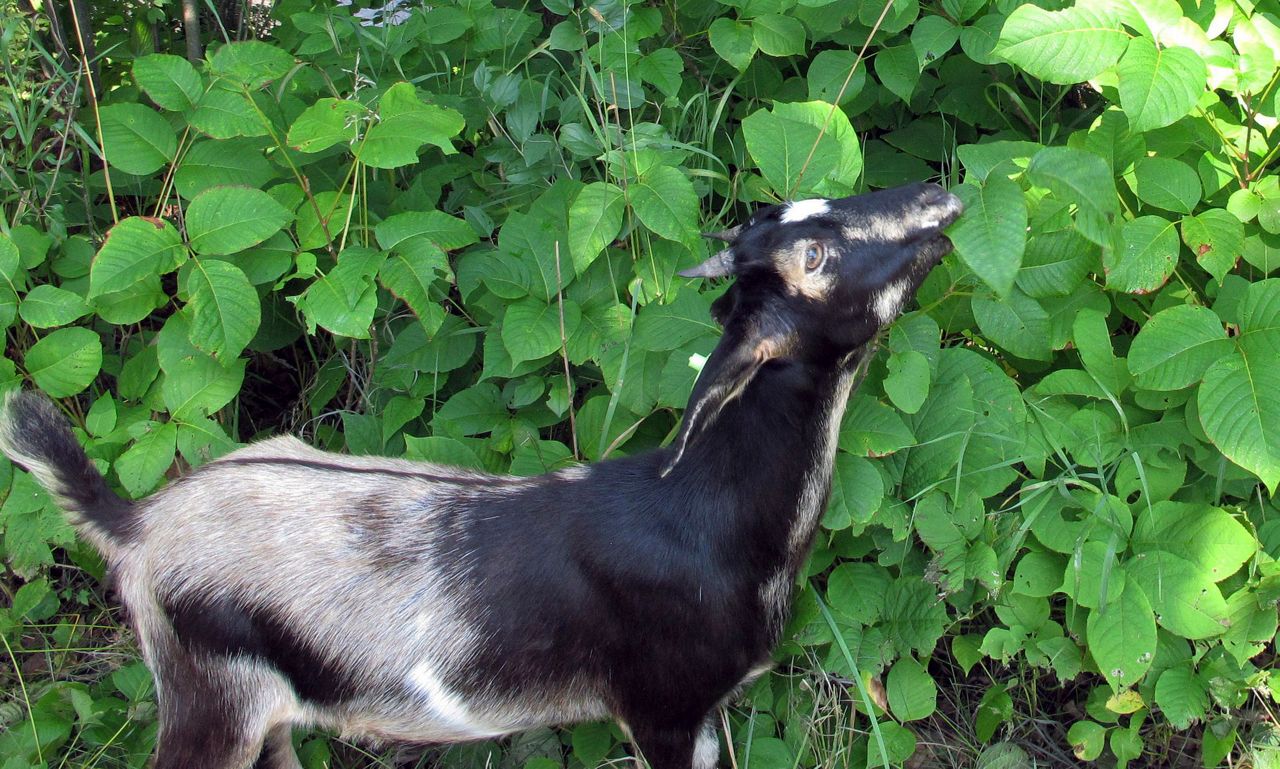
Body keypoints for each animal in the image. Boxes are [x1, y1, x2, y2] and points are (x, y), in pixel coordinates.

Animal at [0, 182, 962, 769]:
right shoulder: (663, 705)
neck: (702, 515)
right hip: (208, 695)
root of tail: (133, 525)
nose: (934, 195)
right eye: (815, 259)